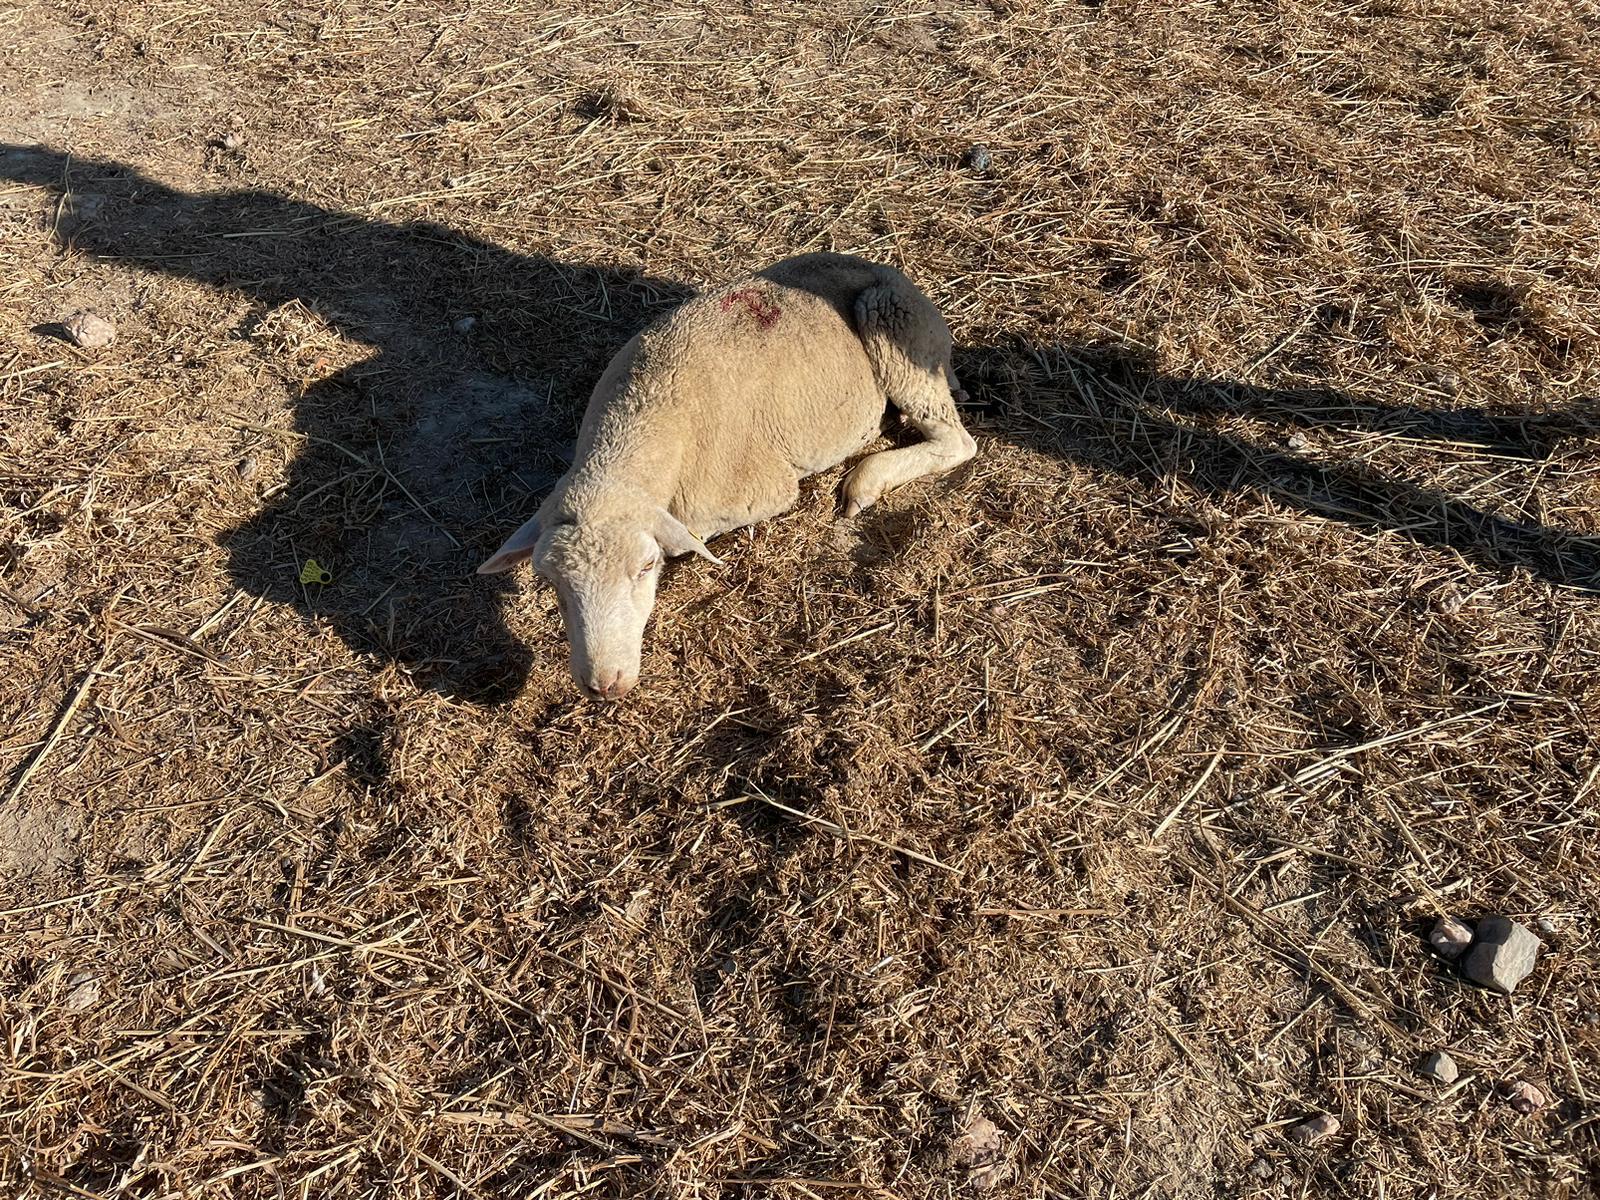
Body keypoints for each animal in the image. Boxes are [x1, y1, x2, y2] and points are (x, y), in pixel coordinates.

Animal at [473, 256, 972, 704]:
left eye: (646, 567)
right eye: (550, 580)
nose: (604, 685)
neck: (646, 412)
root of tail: (890, 271)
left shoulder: (758, 490)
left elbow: (691, 535)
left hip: (892, 322)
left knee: (957, 441)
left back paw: (867, 481)